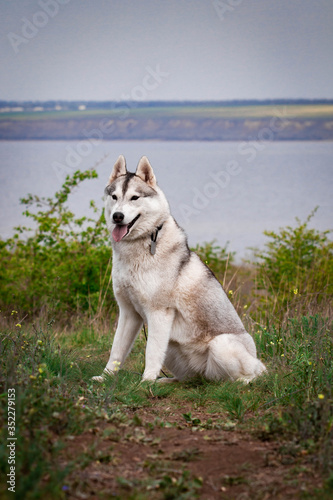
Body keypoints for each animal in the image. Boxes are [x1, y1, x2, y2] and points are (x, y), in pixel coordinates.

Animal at [92, 156, 266, 382]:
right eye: (114, 197)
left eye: (134, 198)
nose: (118, 216)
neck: (141, 244)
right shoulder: (129, 313)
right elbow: (116, 350)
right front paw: (105, 377)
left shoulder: (159, 313)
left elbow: (151, 352)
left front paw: (145, 381)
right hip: (173, 352)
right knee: (191, 379)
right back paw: (168, 381)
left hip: (222, 345)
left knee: (247, 375)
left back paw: (243, 381)